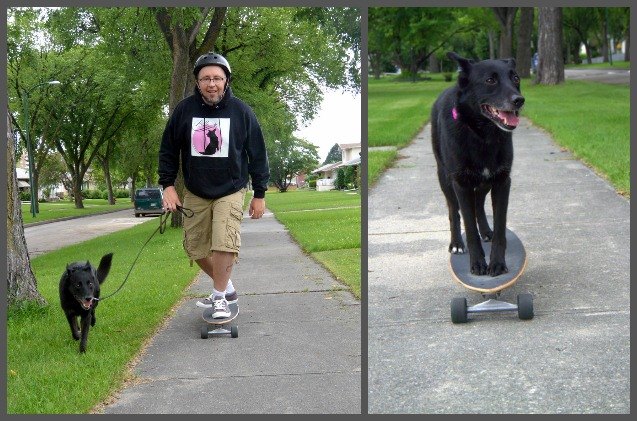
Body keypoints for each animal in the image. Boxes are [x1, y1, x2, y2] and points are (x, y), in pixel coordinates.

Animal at [430, 52, 524, 276]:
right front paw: (478, 263)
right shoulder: (461, 183)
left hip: (485, 182)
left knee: (479, 204)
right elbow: (468, 225)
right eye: (490, 80)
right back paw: (456, 243)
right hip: (445, 179)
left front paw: (497, 262)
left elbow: (500, 224)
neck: (483, 135)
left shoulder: (502, 181)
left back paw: (486, 231)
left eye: (515, 78)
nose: (519, 100)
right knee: (454, 212)